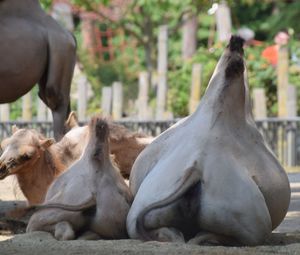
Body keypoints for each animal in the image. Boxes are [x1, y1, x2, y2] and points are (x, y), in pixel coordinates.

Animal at [127, 35, 290, 245]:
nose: (236, 39)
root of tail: (195, 171)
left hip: (139, 212)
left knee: (169, 233)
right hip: (250, 222)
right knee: (228, 236)